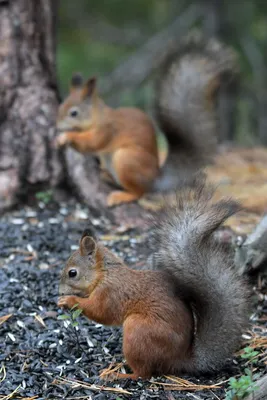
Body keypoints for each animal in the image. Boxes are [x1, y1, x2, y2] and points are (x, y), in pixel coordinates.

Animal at [54, 33, 237, 208]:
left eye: (73, 113)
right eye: (61, 105)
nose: (57, 125)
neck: (97, 117)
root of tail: (155, 179)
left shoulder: (108, 130)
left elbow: (92, 143)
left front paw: (65, 137)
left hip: (126, 159)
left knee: (139, 192)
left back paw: (122, 195)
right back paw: (106, 176)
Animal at [58, 181, 251, 382]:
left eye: (72, 273)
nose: (60, 291)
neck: (105, 273)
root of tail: (180, 359)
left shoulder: (110, 293)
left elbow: (100, 311)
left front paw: (68, 301)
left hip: (138, 330)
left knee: (143, 373)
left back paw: (119, 374)